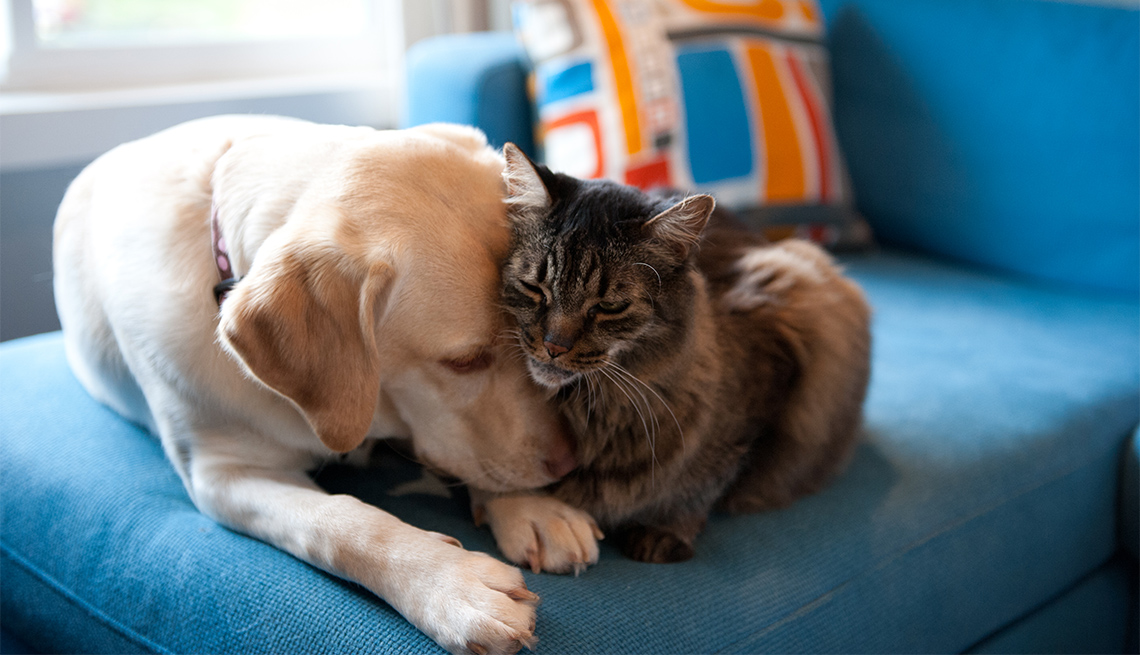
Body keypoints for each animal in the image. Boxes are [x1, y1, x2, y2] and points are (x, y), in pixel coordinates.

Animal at [51, 115, 570, 651]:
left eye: (529, 341)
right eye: (464, 361)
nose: (568, 463)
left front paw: (532, 509)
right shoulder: (221, 476)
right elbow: (340, 523)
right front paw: (450, 584)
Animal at [474, 145, 870, 571]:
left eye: (609, 306)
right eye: (534, 287)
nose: (554, 346)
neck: (595, 413)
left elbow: (706, 481)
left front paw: (666, 530)